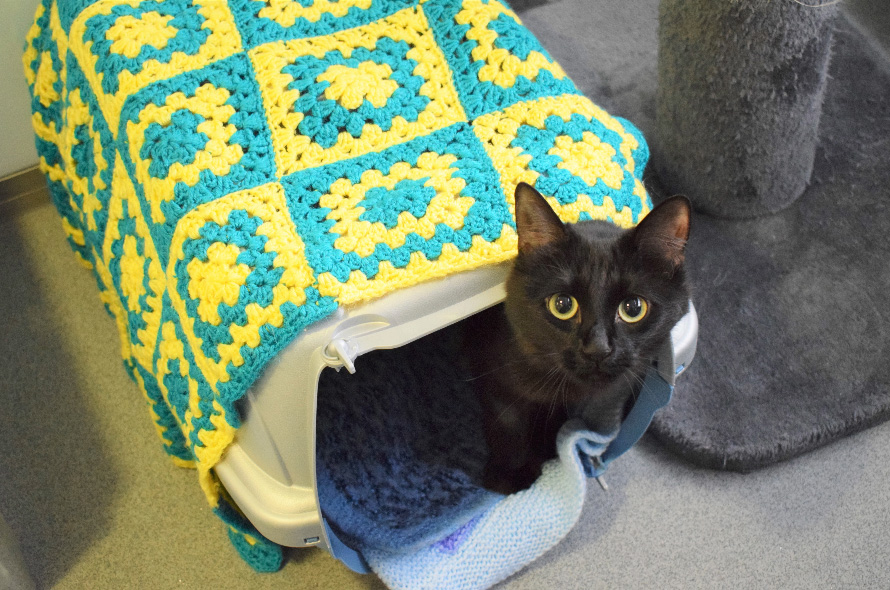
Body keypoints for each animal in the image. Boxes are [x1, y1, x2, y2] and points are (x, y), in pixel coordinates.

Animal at [468, 184, 692, 494]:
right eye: (562, 305)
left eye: (633, 308)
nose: (598, 348)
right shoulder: (497, 379)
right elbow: (509, 424)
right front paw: (509, 478)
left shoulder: (615, 389)